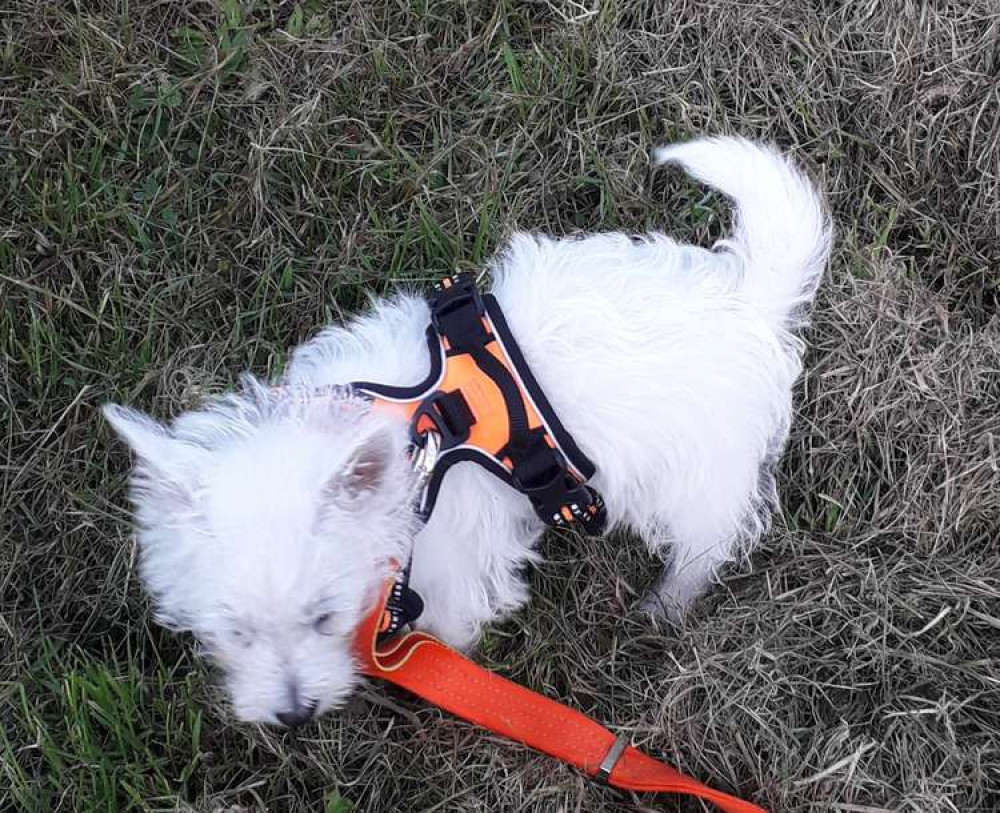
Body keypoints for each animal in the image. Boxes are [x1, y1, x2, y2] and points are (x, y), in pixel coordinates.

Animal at [105, 136, 832, 728]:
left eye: (325, 617)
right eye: (235, 631)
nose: (293, 714)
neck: (415, 441)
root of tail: (746, 298)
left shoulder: (454, 559)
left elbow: (449, 626)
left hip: (698, 467)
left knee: (711, 537)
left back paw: (667, 600)